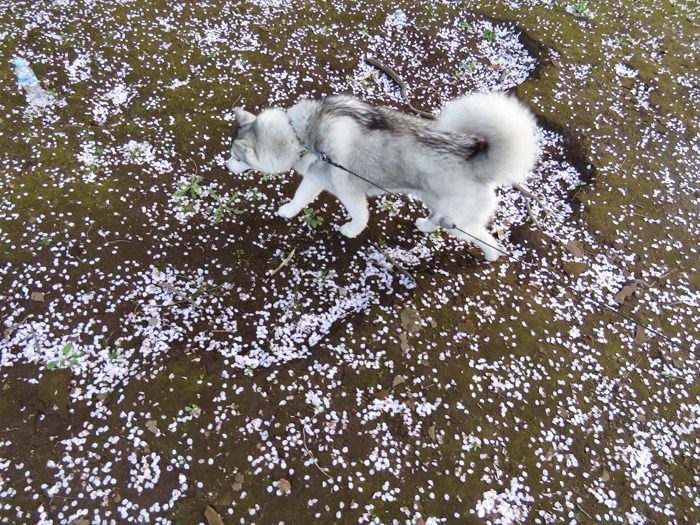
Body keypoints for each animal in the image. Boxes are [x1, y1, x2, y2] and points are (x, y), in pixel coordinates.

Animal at [224, 93, 536, 260]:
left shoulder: (348, 191)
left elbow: (360, 217)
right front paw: (289, 211)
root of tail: (475, 159)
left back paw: (491, 256)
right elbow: (300, 197)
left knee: (487, 238)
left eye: (237, 157)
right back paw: (425, 225)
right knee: (438, 219)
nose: (226, 167)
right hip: (437, 203)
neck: (300, 135)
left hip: (462, 223)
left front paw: (351, 231)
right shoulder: (315, 178)